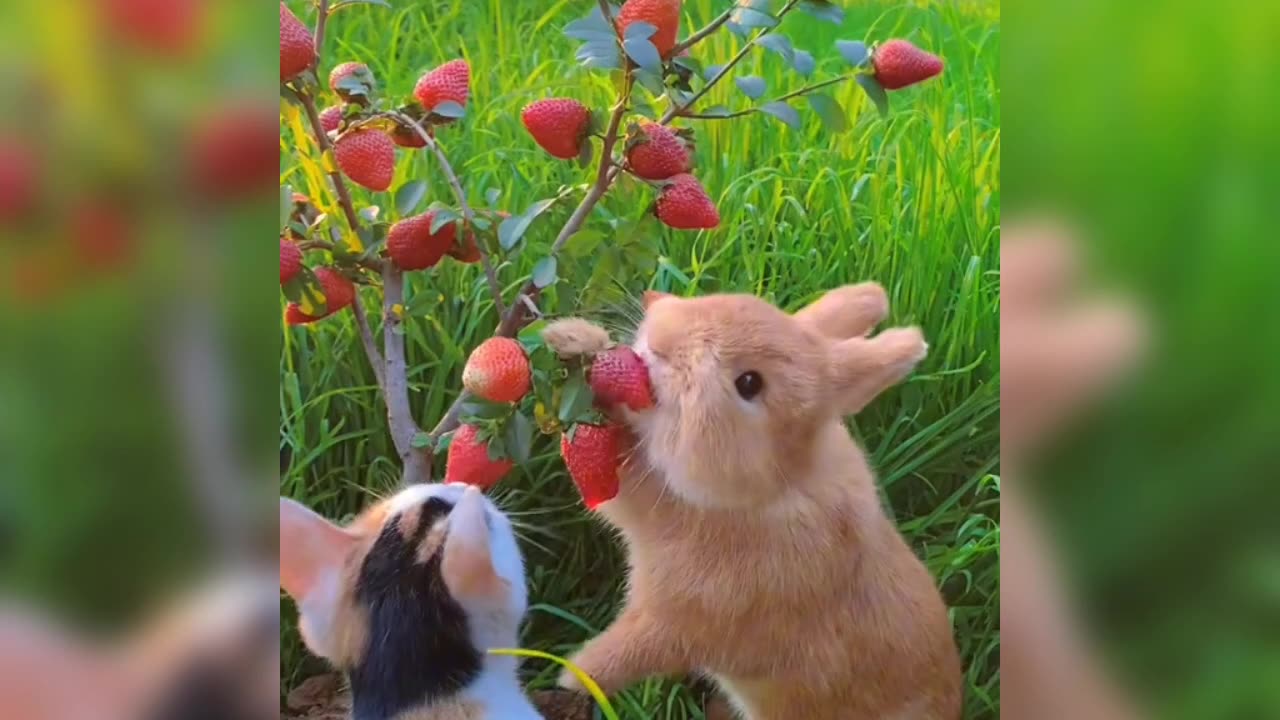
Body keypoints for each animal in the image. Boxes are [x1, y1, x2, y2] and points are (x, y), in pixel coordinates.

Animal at [547, 283, 962, 717]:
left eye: (749, 383)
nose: (659, 338)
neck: (770, 491)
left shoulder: (683, 619)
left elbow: (622, 655)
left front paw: (569, 678)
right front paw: (574, 339)